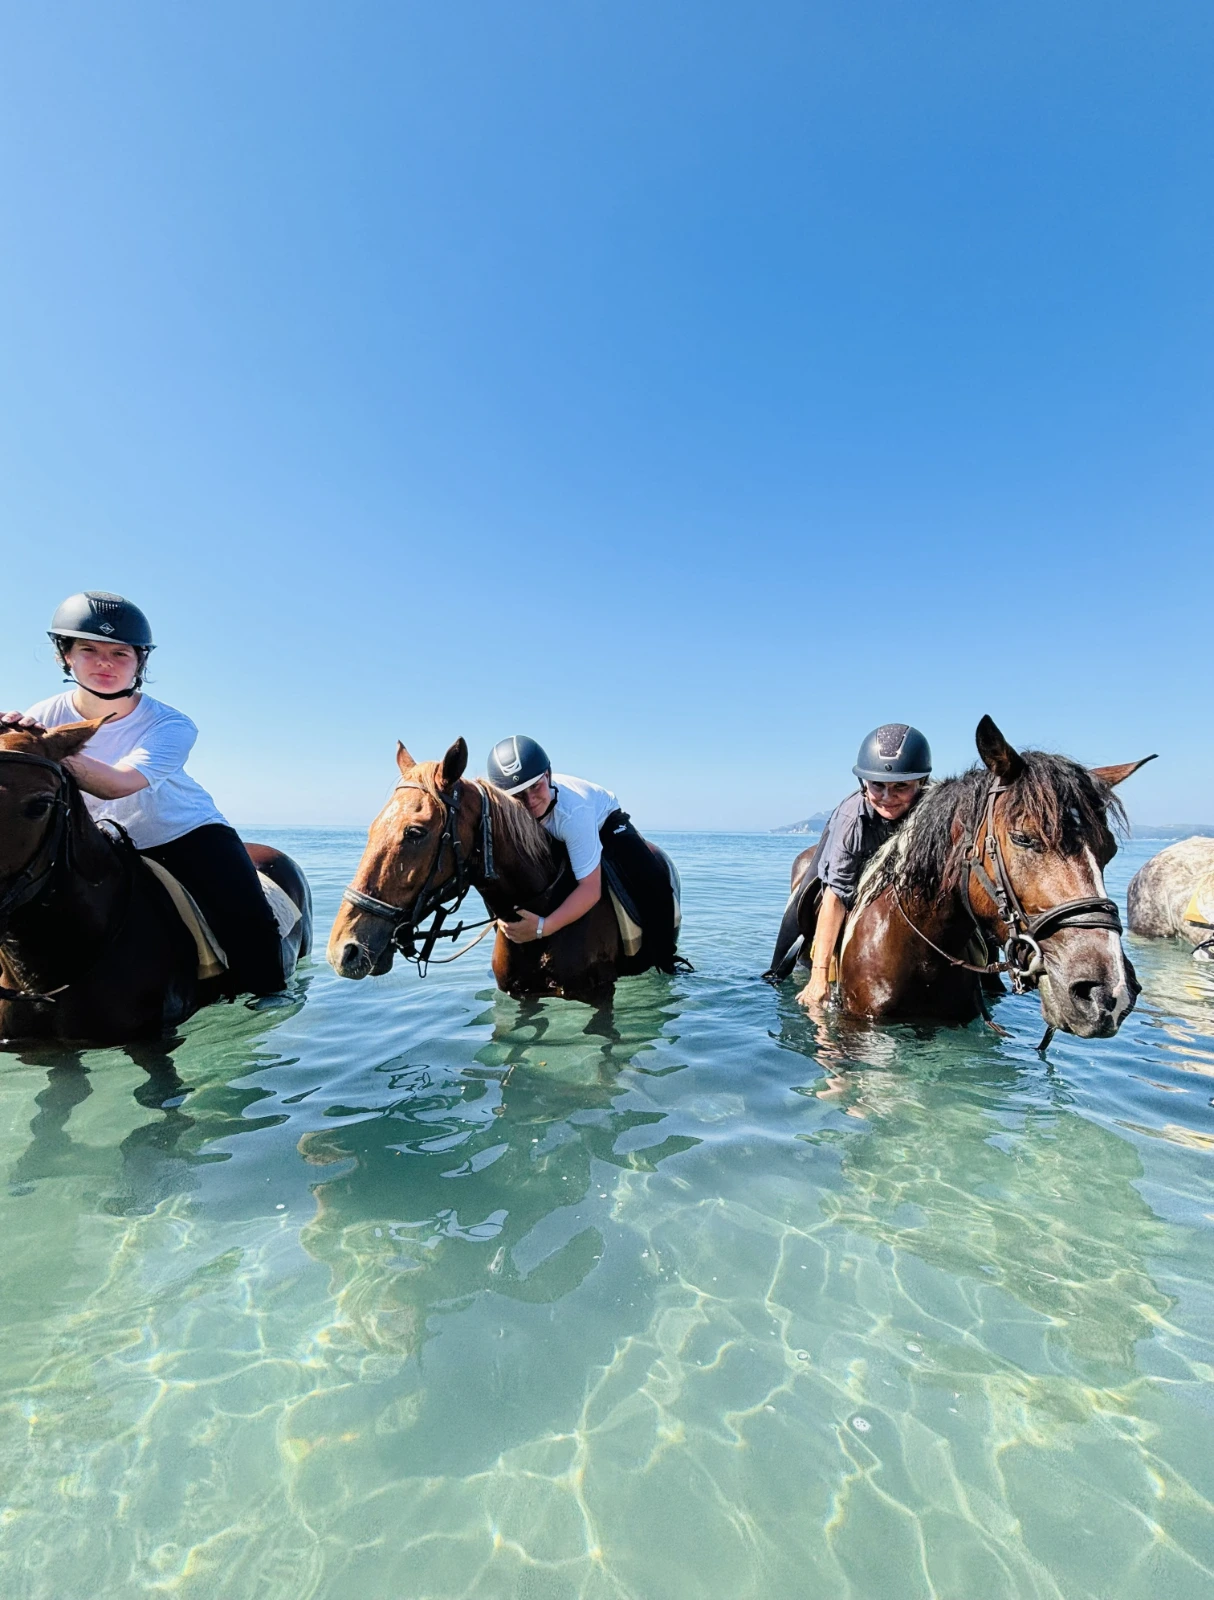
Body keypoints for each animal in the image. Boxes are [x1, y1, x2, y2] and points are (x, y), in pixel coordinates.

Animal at [327, 738, 677, 1006]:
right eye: (373, 827)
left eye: (415, 832)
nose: (343, 951)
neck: (544, 905)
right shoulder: (520, 994)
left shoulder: (599, 994)